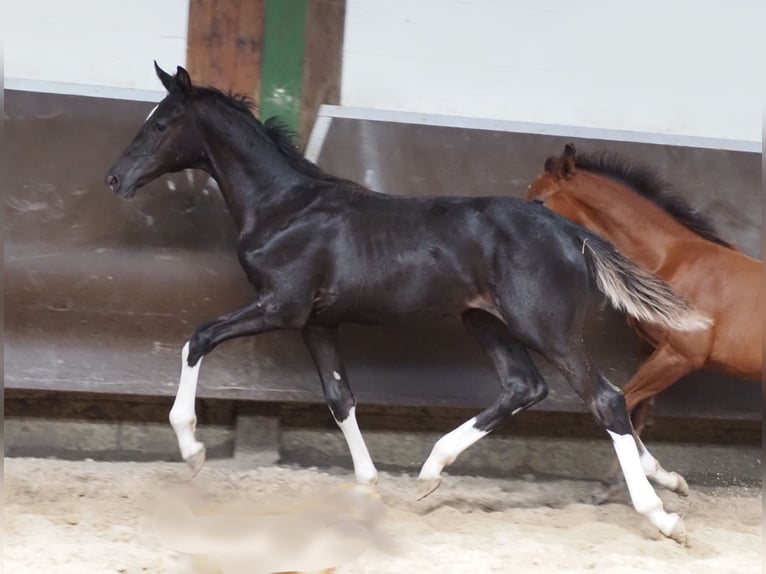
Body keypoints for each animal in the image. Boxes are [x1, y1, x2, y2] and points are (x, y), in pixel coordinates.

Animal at [105, 63, 712, 544]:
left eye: (160, 124)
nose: (114, 178)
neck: (286, 208)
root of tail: (570, 231)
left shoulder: (280, 306)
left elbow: (199, 337)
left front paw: (192, 448)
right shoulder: (317, 323)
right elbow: (340, 398)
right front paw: (369, 488)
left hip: (545, 327)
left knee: (605, 399)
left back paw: (662, 516)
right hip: (485, 321)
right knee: (525, 387)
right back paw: (432, 471)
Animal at [532, 144, 764, 504]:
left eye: (539, 201)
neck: (670, 262)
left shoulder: (679, 357)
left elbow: (622, 402)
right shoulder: (652, 351)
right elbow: (637, 411)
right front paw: (625, 484)